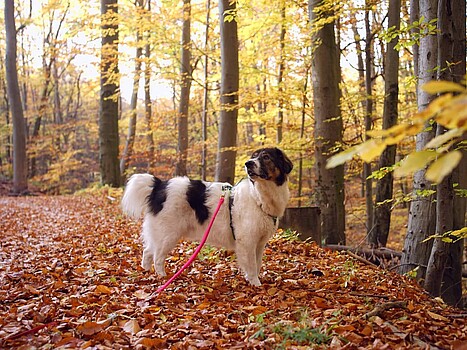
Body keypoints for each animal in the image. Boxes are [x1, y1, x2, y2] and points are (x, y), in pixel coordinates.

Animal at [122, 146, 294, 286]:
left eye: (266, 157)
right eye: (254, 156)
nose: (248, 163)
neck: (258, 197)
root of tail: (159, 186)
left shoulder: (259, 243)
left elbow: (257, 264)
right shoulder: (247, 242)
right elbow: (251, 266)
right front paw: (255, 284)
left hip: (160, 233)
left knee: (147, 252)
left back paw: (146, 272)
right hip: (168, 234)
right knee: (157, 257)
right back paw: (163, 277)